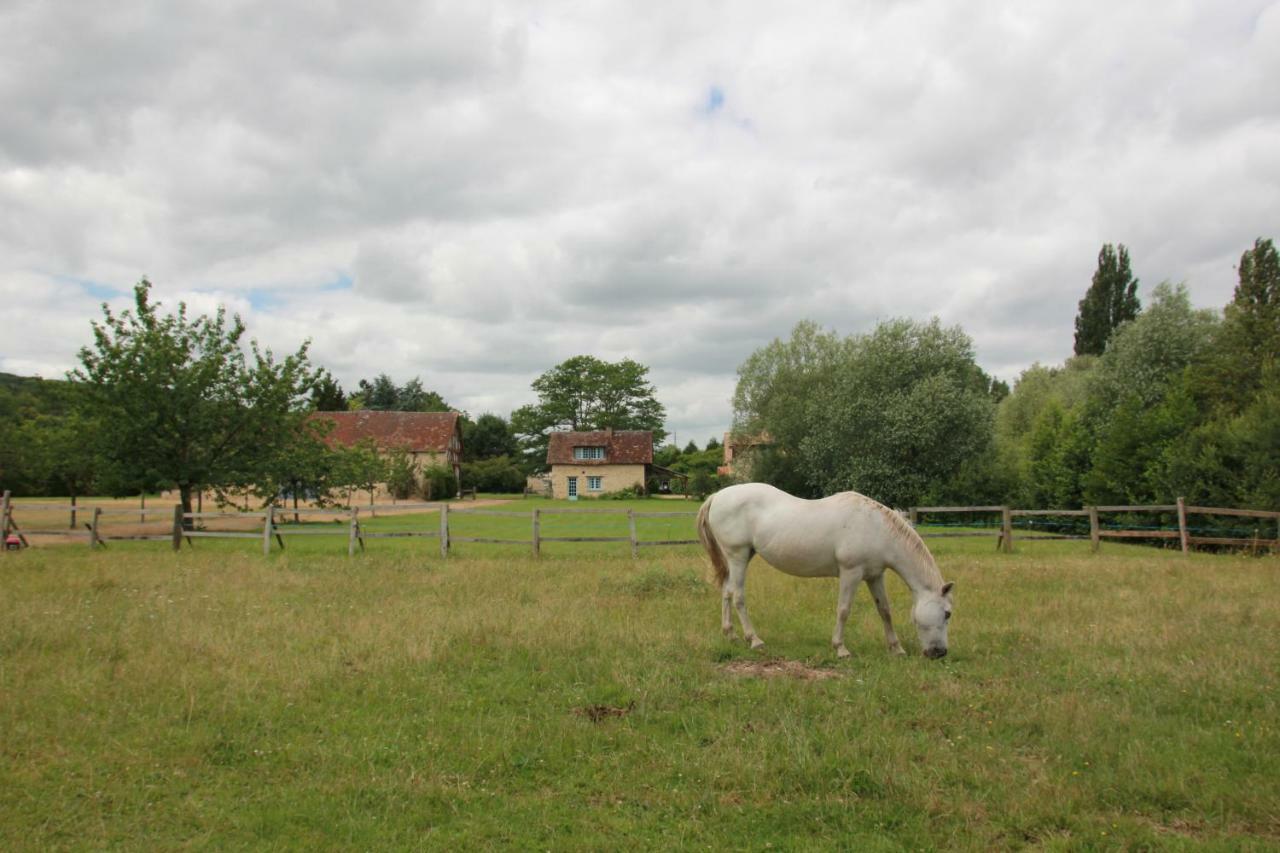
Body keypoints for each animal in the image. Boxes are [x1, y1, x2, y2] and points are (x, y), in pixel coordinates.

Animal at [696, 481, 957, 653]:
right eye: (947, 613)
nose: (939, 653)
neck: (876, 527)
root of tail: (717, 496)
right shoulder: (851, 573)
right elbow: (844, 610)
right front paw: (840, 648)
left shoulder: (875, 576)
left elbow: (884, 610)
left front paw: (896, 648)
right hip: (738, 555)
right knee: (738, 596)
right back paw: (754, 639)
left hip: (739, 557)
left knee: (727, 592)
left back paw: (730, 635)